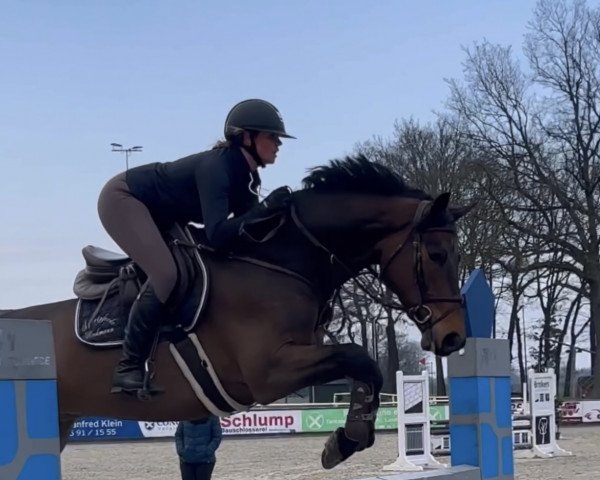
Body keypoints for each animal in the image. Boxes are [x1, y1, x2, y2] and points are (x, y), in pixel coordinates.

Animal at [2, 157, 476, 468]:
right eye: (436, 255)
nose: (453, 337)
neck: (281, 263)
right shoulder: (269, 372)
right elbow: (360, 358)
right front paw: (348, 439)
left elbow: (364, 368)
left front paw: (346, 437)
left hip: (61, 420)